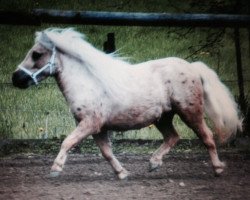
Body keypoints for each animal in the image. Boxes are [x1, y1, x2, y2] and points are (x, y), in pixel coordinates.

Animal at [12, 27, 242, 179]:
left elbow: (67, 142)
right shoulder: (97, 128)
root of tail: (193, 67)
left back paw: (218, 168)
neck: (89, 82)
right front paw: (122, 173)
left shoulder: (89, 124)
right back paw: (153, 163)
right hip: (163, 117)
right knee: (173, 137)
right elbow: (106, 152)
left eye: (36, 54)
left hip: (190, 112)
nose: (16, 78)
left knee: (207, 137)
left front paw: (55, 169)